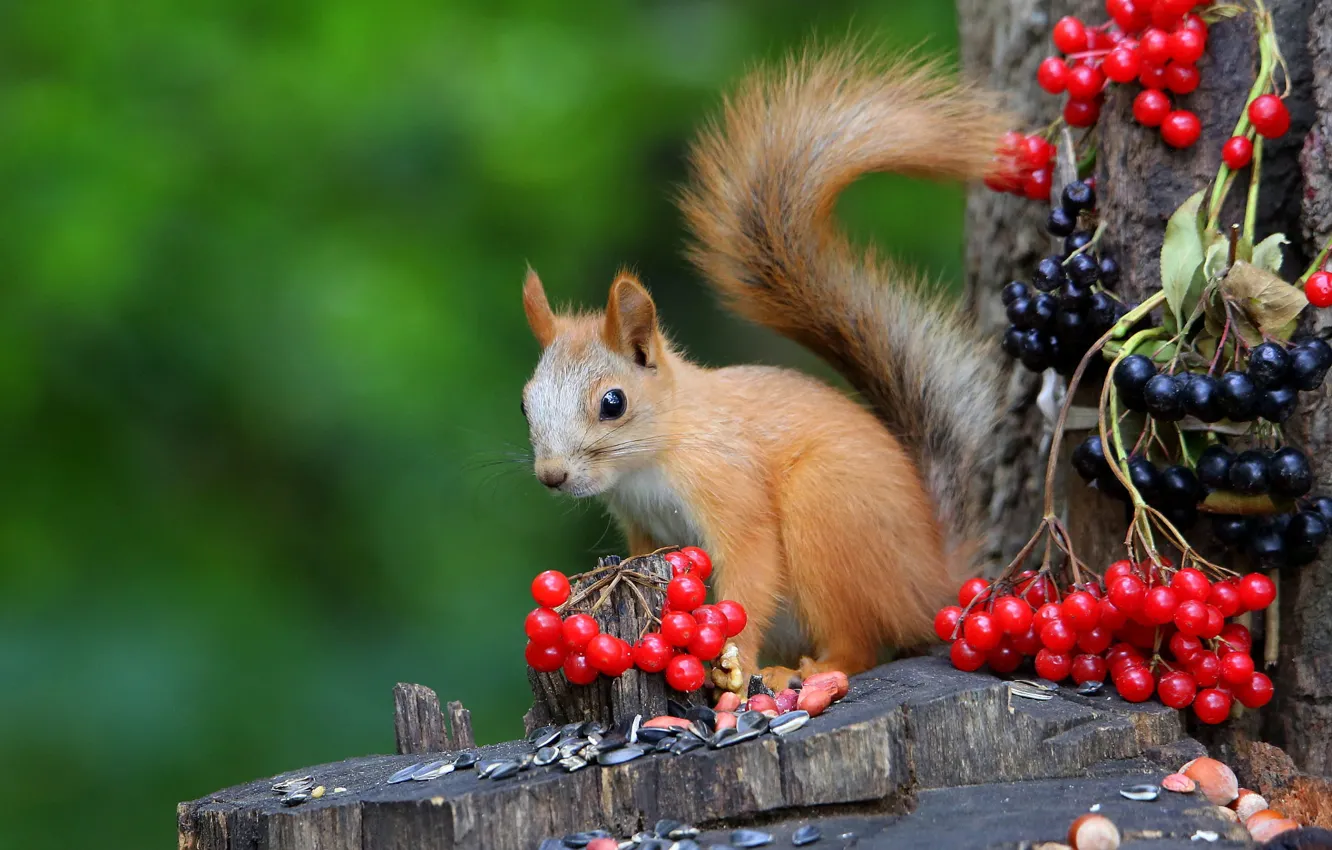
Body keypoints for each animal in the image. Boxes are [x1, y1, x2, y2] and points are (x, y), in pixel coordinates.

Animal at [519, 47, 1011, 691]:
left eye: (613, 403)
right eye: (525, 401)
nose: (551, 476)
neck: (655, 454)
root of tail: (932, 580)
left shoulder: (729, 481)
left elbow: (750, 568)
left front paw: (736, 660)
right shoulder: (643, 531)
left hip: (826, 512)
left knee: (859, 642)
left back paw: (804, 671)